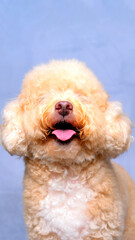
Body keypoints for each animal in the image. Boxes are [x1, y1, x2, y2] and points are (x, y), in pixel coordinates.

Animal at [0, 60, 134, 240]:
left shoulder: (101, 231)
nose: (63, 105)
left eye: (81, 95)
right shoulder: (44, 232)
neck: (66, 175)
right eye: (43, 96)